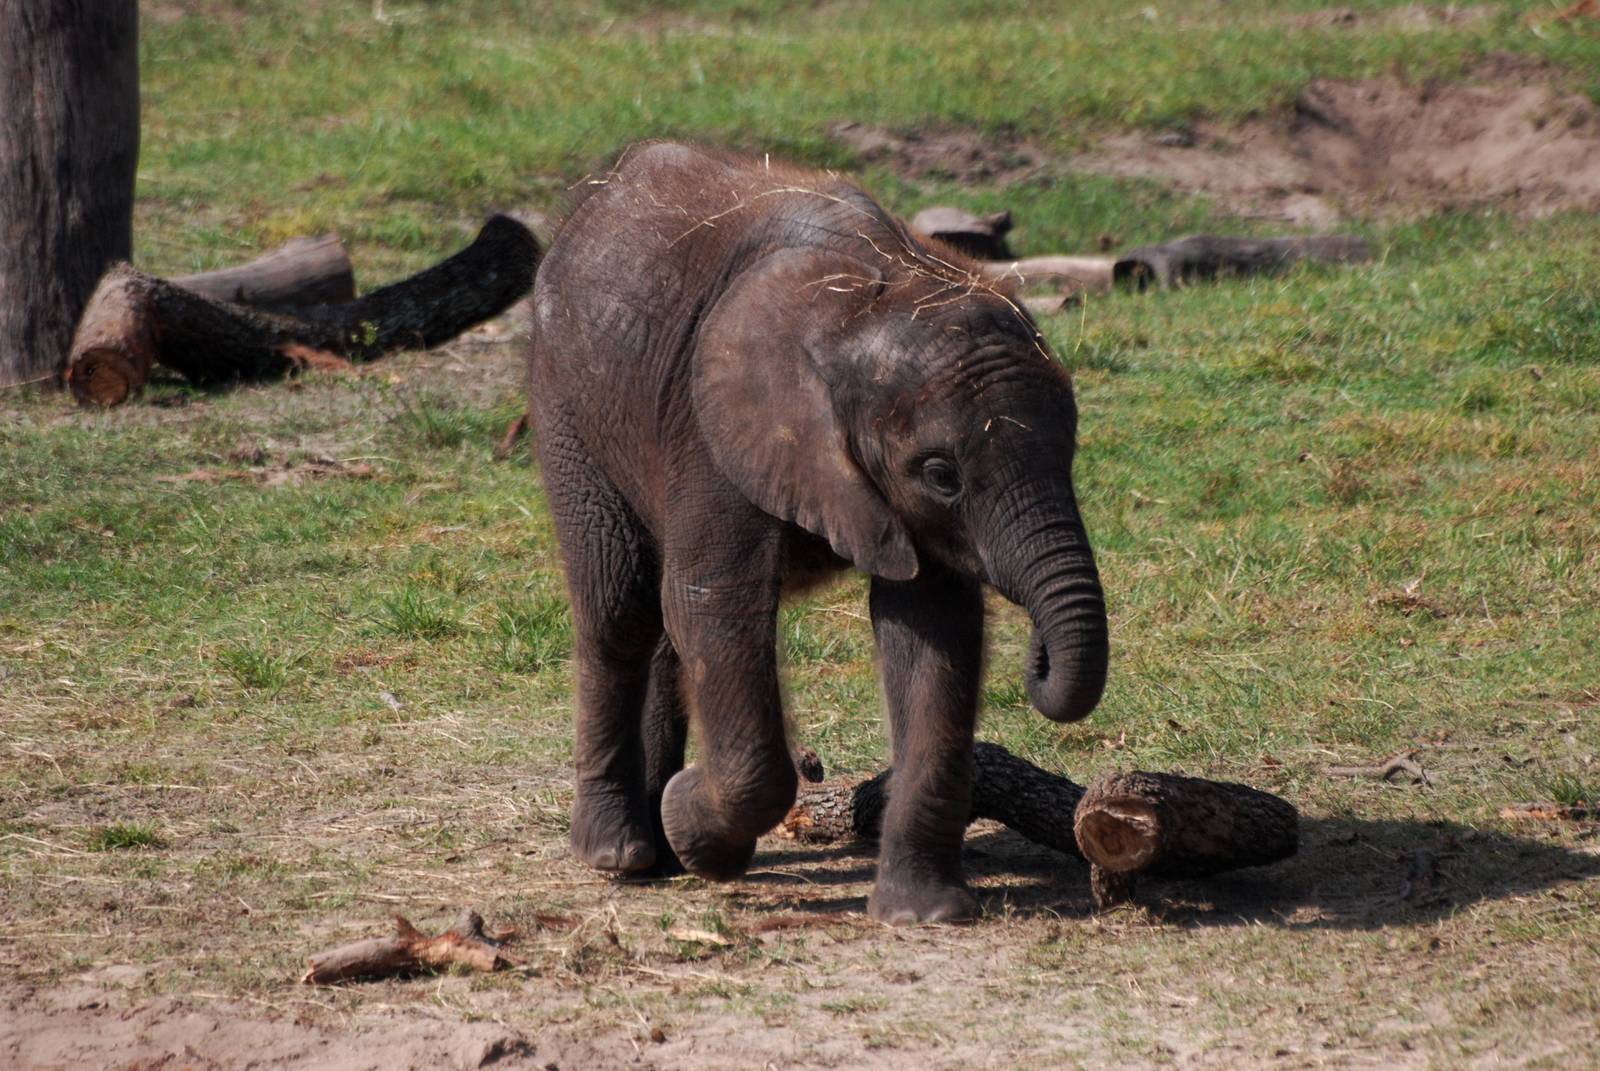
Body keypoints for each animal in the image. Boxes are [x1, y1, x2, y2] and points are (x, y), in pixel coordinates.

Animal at [526, 141, 1109, 924]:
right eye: (942, 474)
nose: (1039, 656)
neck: (865, 298)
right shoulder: (716, 433)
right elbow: (715, 604)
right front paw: (697, 834)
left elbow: (934, 632)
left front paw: (923, 915)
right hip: (565, 400)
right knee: (622, 605)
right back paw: (619, 854)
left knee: (663, 629)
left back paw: (658, 854)